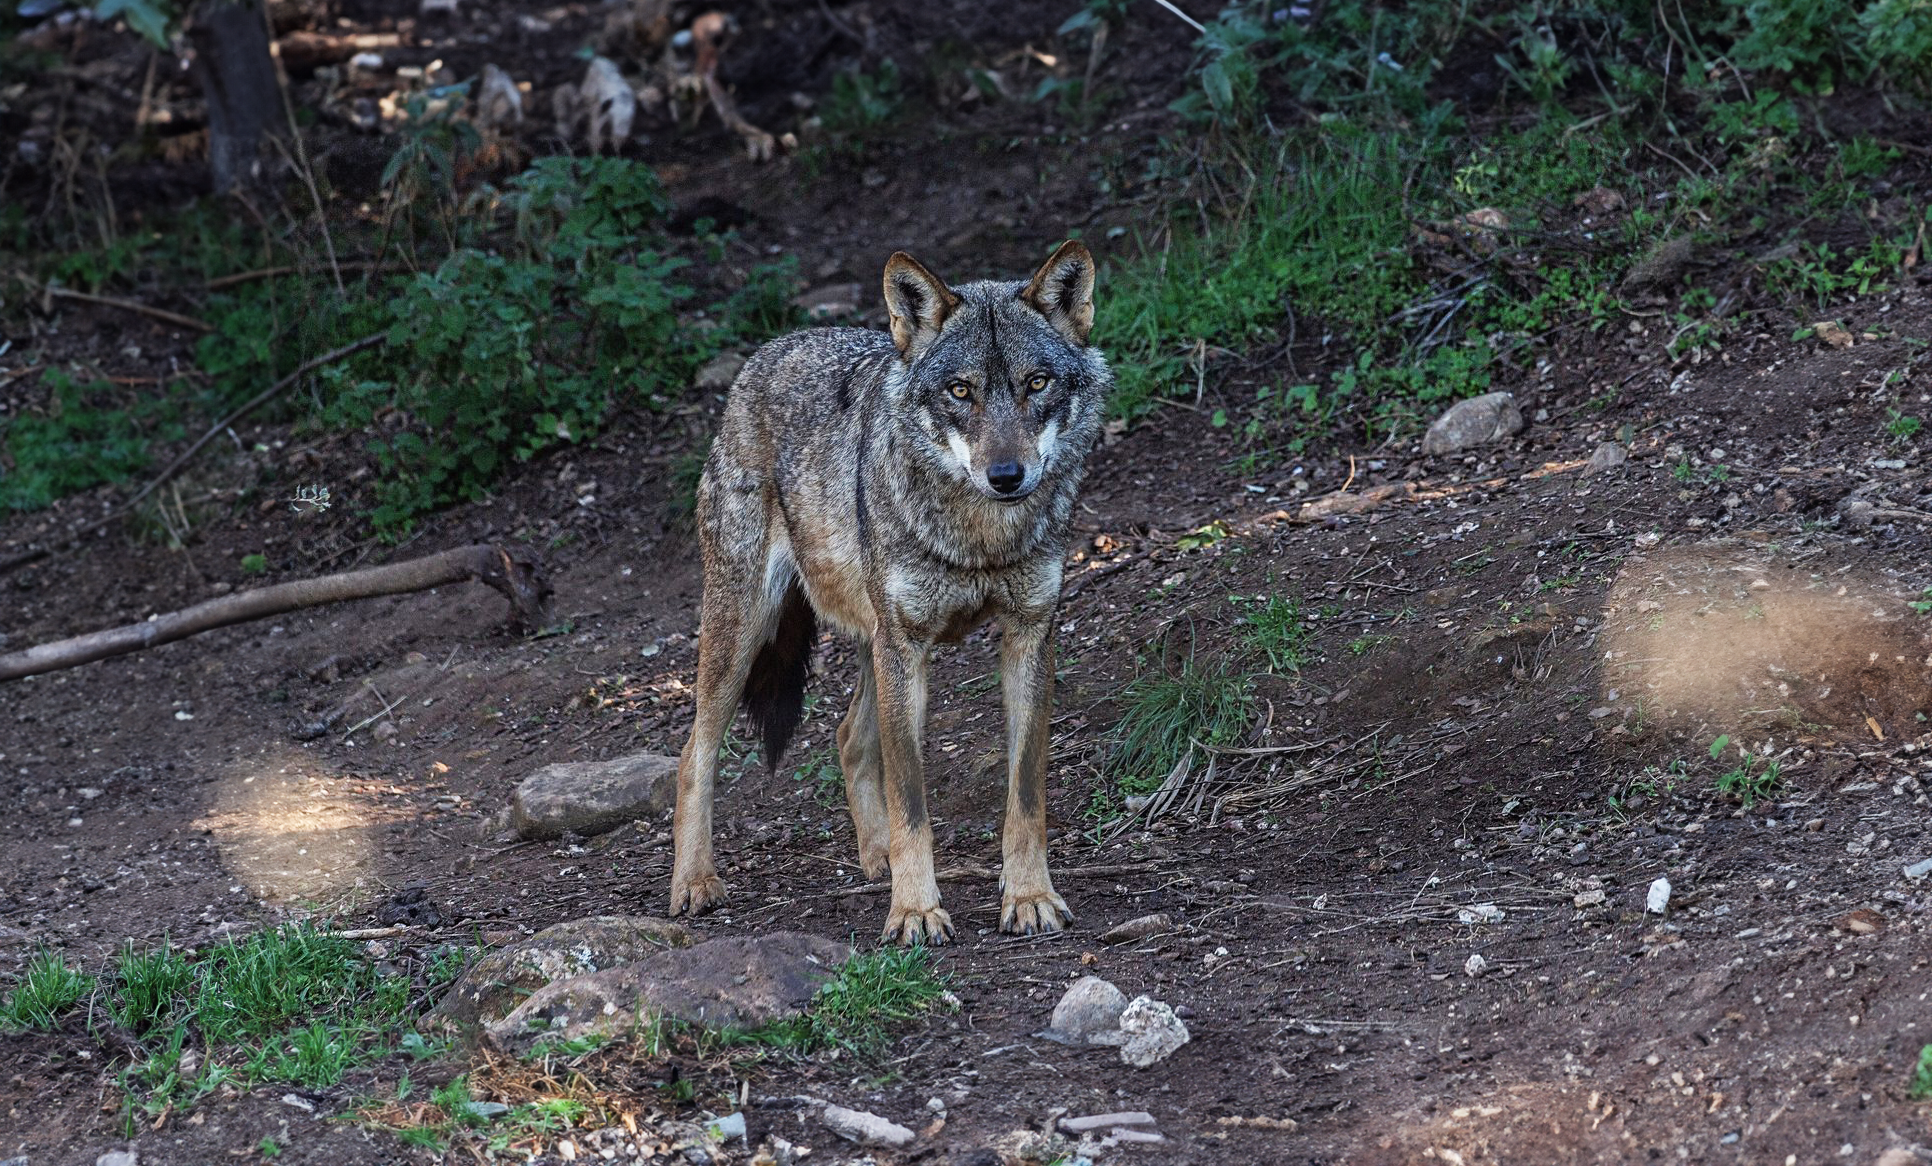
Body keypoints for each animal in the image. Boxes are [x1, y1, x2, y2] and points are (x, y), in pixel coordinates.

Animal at [667, 240, 1111, 945]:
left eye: (1036, 383)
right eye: (961, 391)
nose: (1006, 476)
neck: (980, 538)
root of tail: (764, 355)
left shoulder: (1028, 636)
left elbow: (1025, 797)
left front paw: (1030, 897)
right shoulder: (907, 648)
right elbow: (912, 803)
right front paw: (916, 911)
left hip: (871, 644)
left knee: (848, 736)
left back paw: (874, 857)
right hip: (750, 632)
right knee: (692, 754)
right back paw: (693, 883)